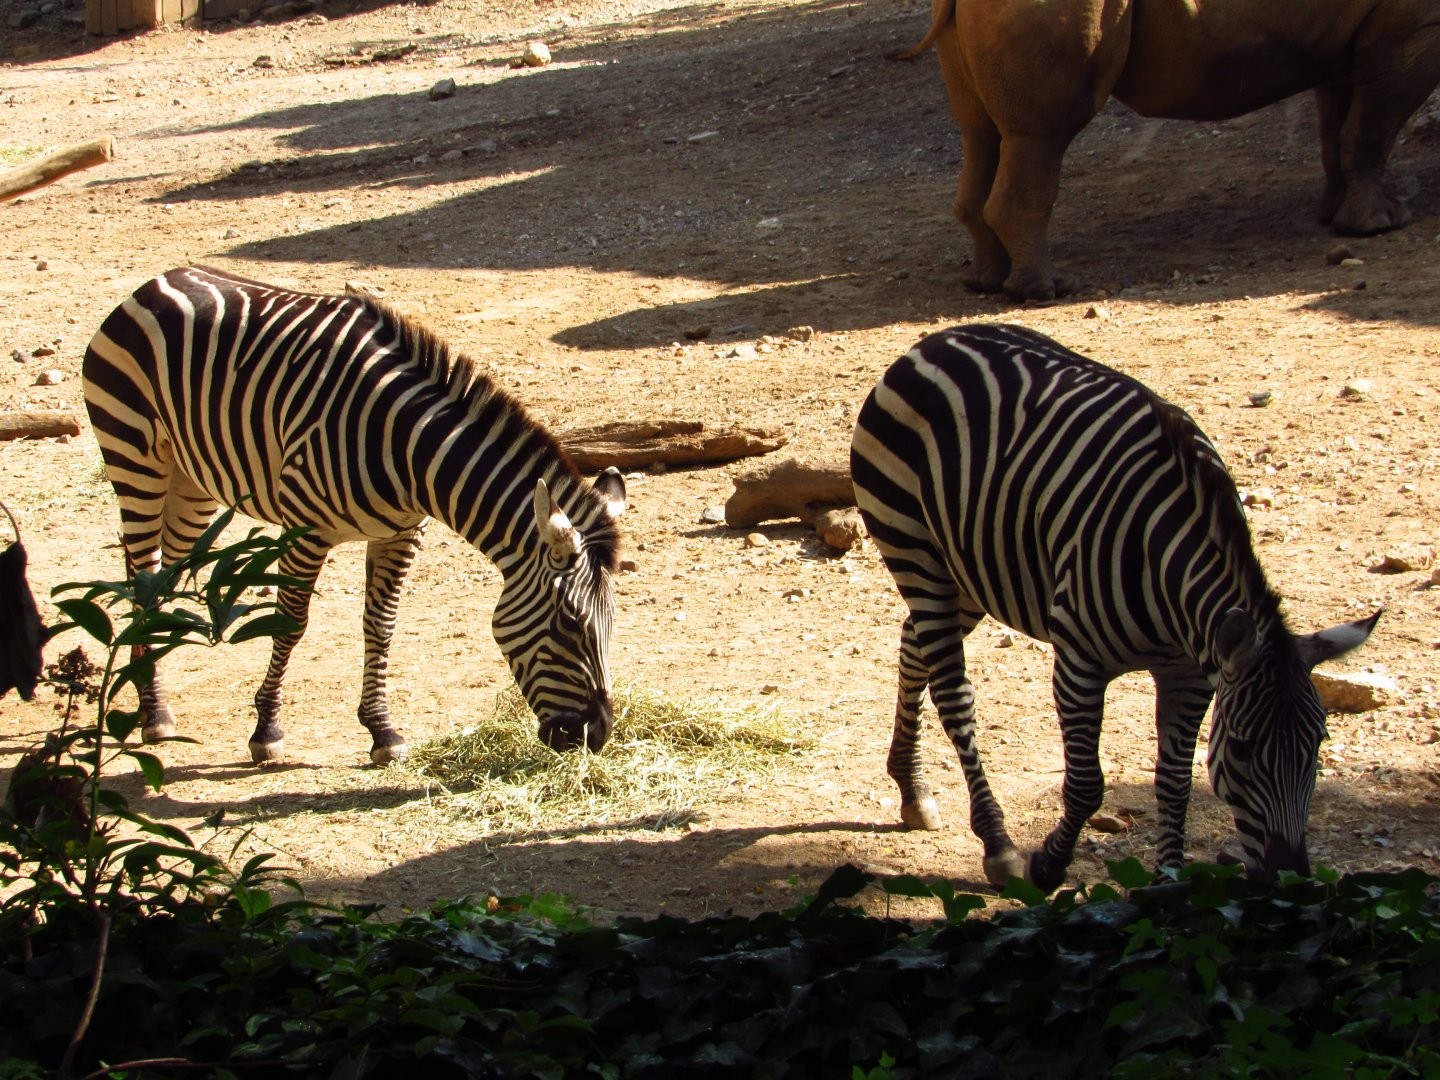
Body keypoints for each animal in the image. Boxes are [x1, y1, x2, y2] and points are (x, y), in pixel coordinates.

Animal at [83, 265, 627, 765]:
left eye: (612, 622)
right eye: (570, 623)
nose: (595, 736)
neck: (410, 447)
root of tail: (162, 278)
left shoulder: (401, 533)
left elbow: (380, 626)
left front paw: (382, 731)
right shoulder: (305, 529)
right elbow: (290, 622)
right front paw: (267, 731)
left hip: (192, 482)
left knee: (159, 574)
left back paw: (146, 687)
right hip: (135, 457)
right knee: (144, 575)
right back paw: (154, 712)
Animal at [851, 323, 1378, 892]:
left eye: (1319, 745)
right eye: (1240, 748)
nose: (1290, 881)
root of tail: (938, 339)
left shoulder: (1191, 676)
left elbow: (1175, 783)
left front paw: (1169, 881)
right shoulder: (1079, 664)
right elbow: (1086, 785)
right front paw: (1047, 865)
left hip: (970, 572)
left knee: (913, 647)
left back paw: (911, 789)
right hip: (914, 550)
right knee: (953, 694)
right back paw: (998, 843)